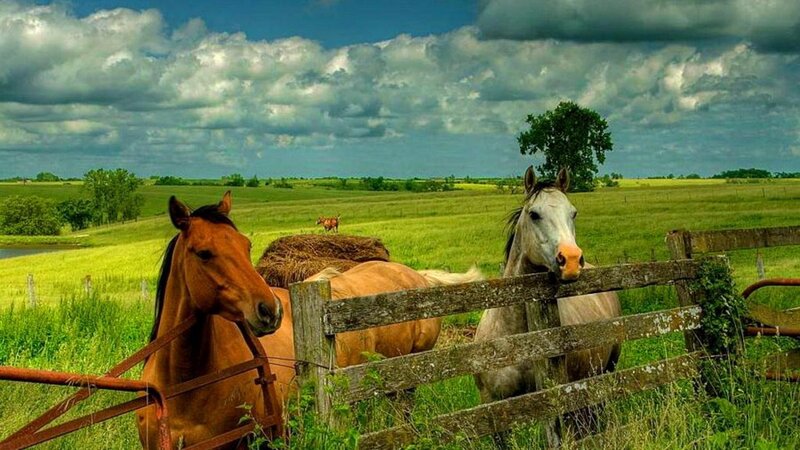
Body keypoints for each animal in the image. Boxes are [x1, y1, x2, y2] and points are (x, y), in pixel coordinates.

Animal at [474, 167, 621, 446]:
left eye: (573, 212)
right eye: (534, 214)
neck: (517, 340)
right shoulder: (494, 410)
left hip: (605, 370)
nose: (572, 260)